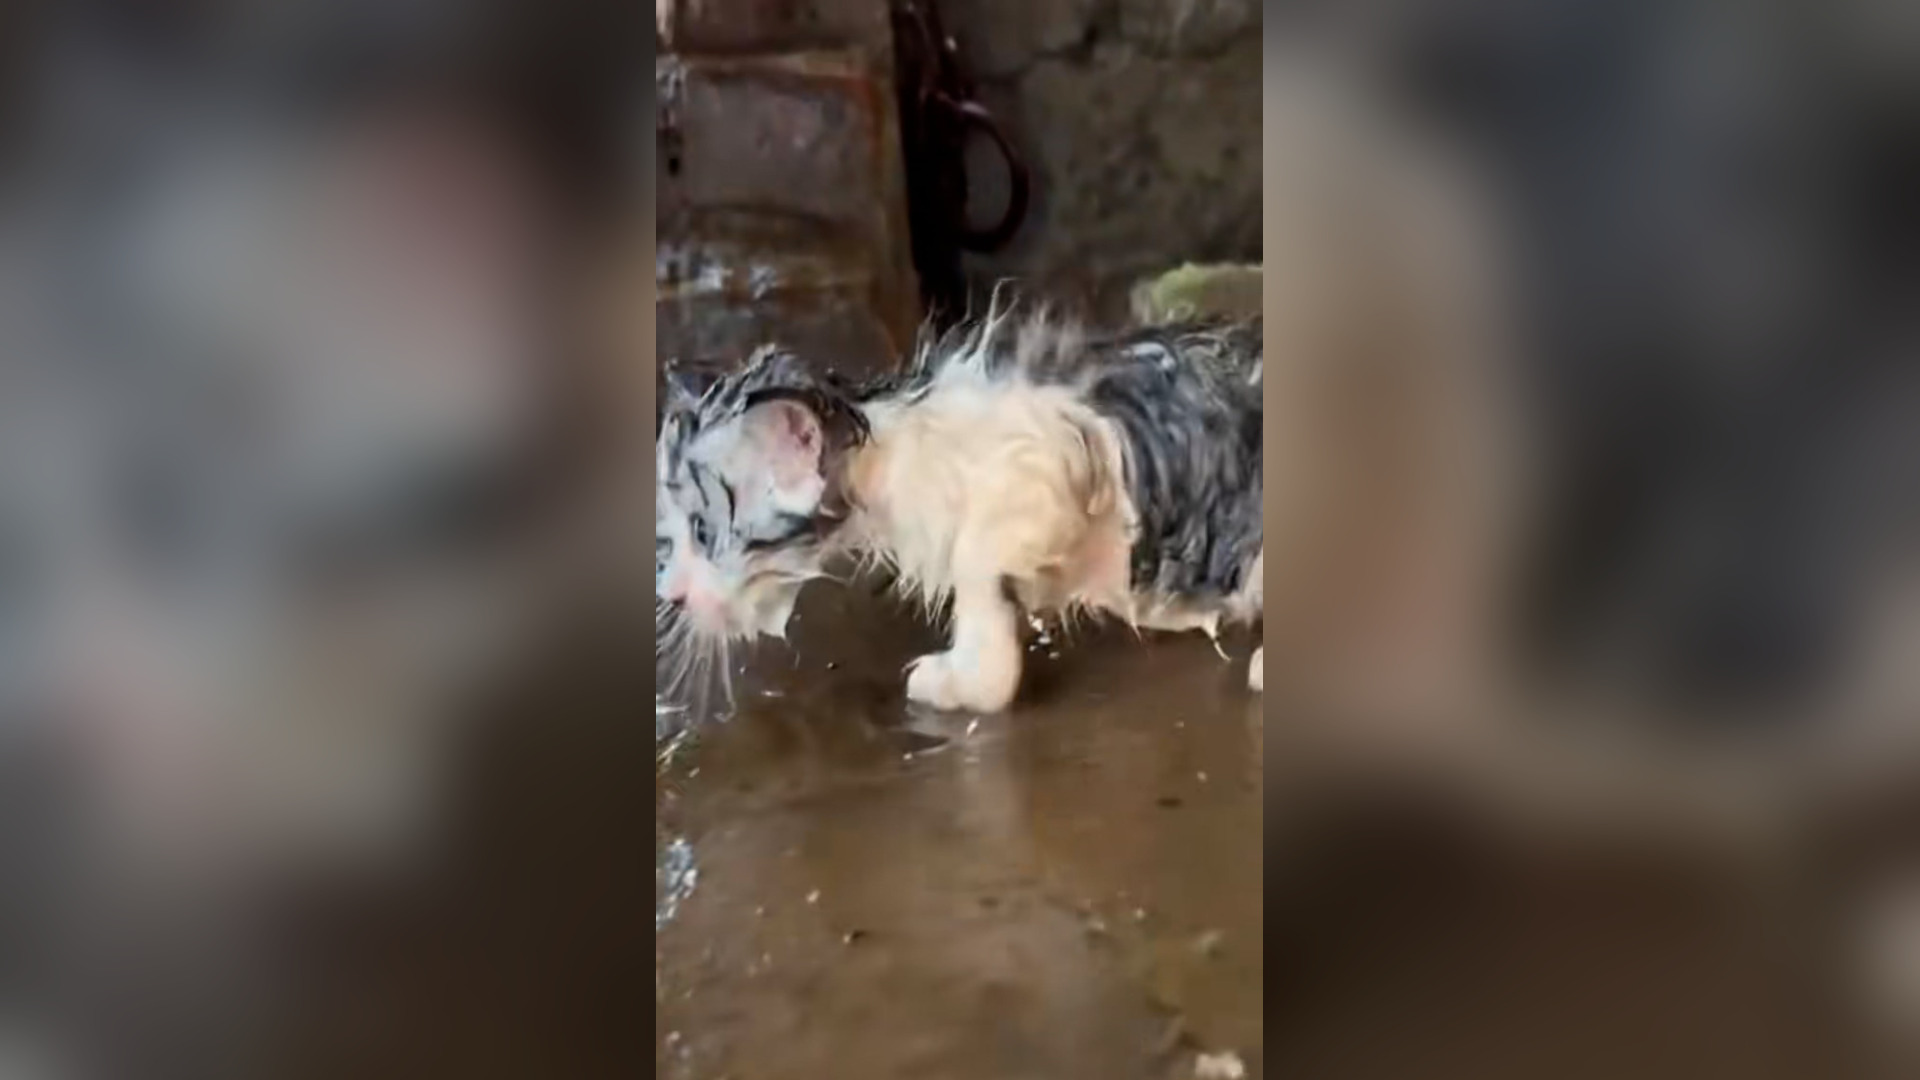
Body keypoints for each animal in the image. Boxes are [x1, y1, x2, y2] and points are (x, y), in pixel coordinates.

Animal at [655, 302, 1264, 712]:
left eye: (702, 532)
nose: (672, 594)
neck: (885, 449)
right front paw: (1173, 608)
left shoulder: (1048, 459)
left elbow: (973, 561)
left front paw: (967, 681)